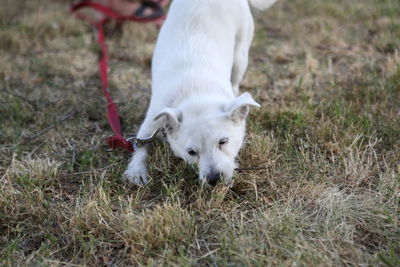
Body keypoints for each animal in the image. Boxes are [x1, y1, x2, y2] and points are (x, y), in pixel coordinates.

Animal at [123, 0, 276, 186]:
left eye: (223, 142)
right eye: (191, 152)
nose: (214, 179)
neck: (196, 92)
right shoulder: (151, 122)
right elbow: (141, 145)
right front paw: (136, 170)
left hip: (241, 53)